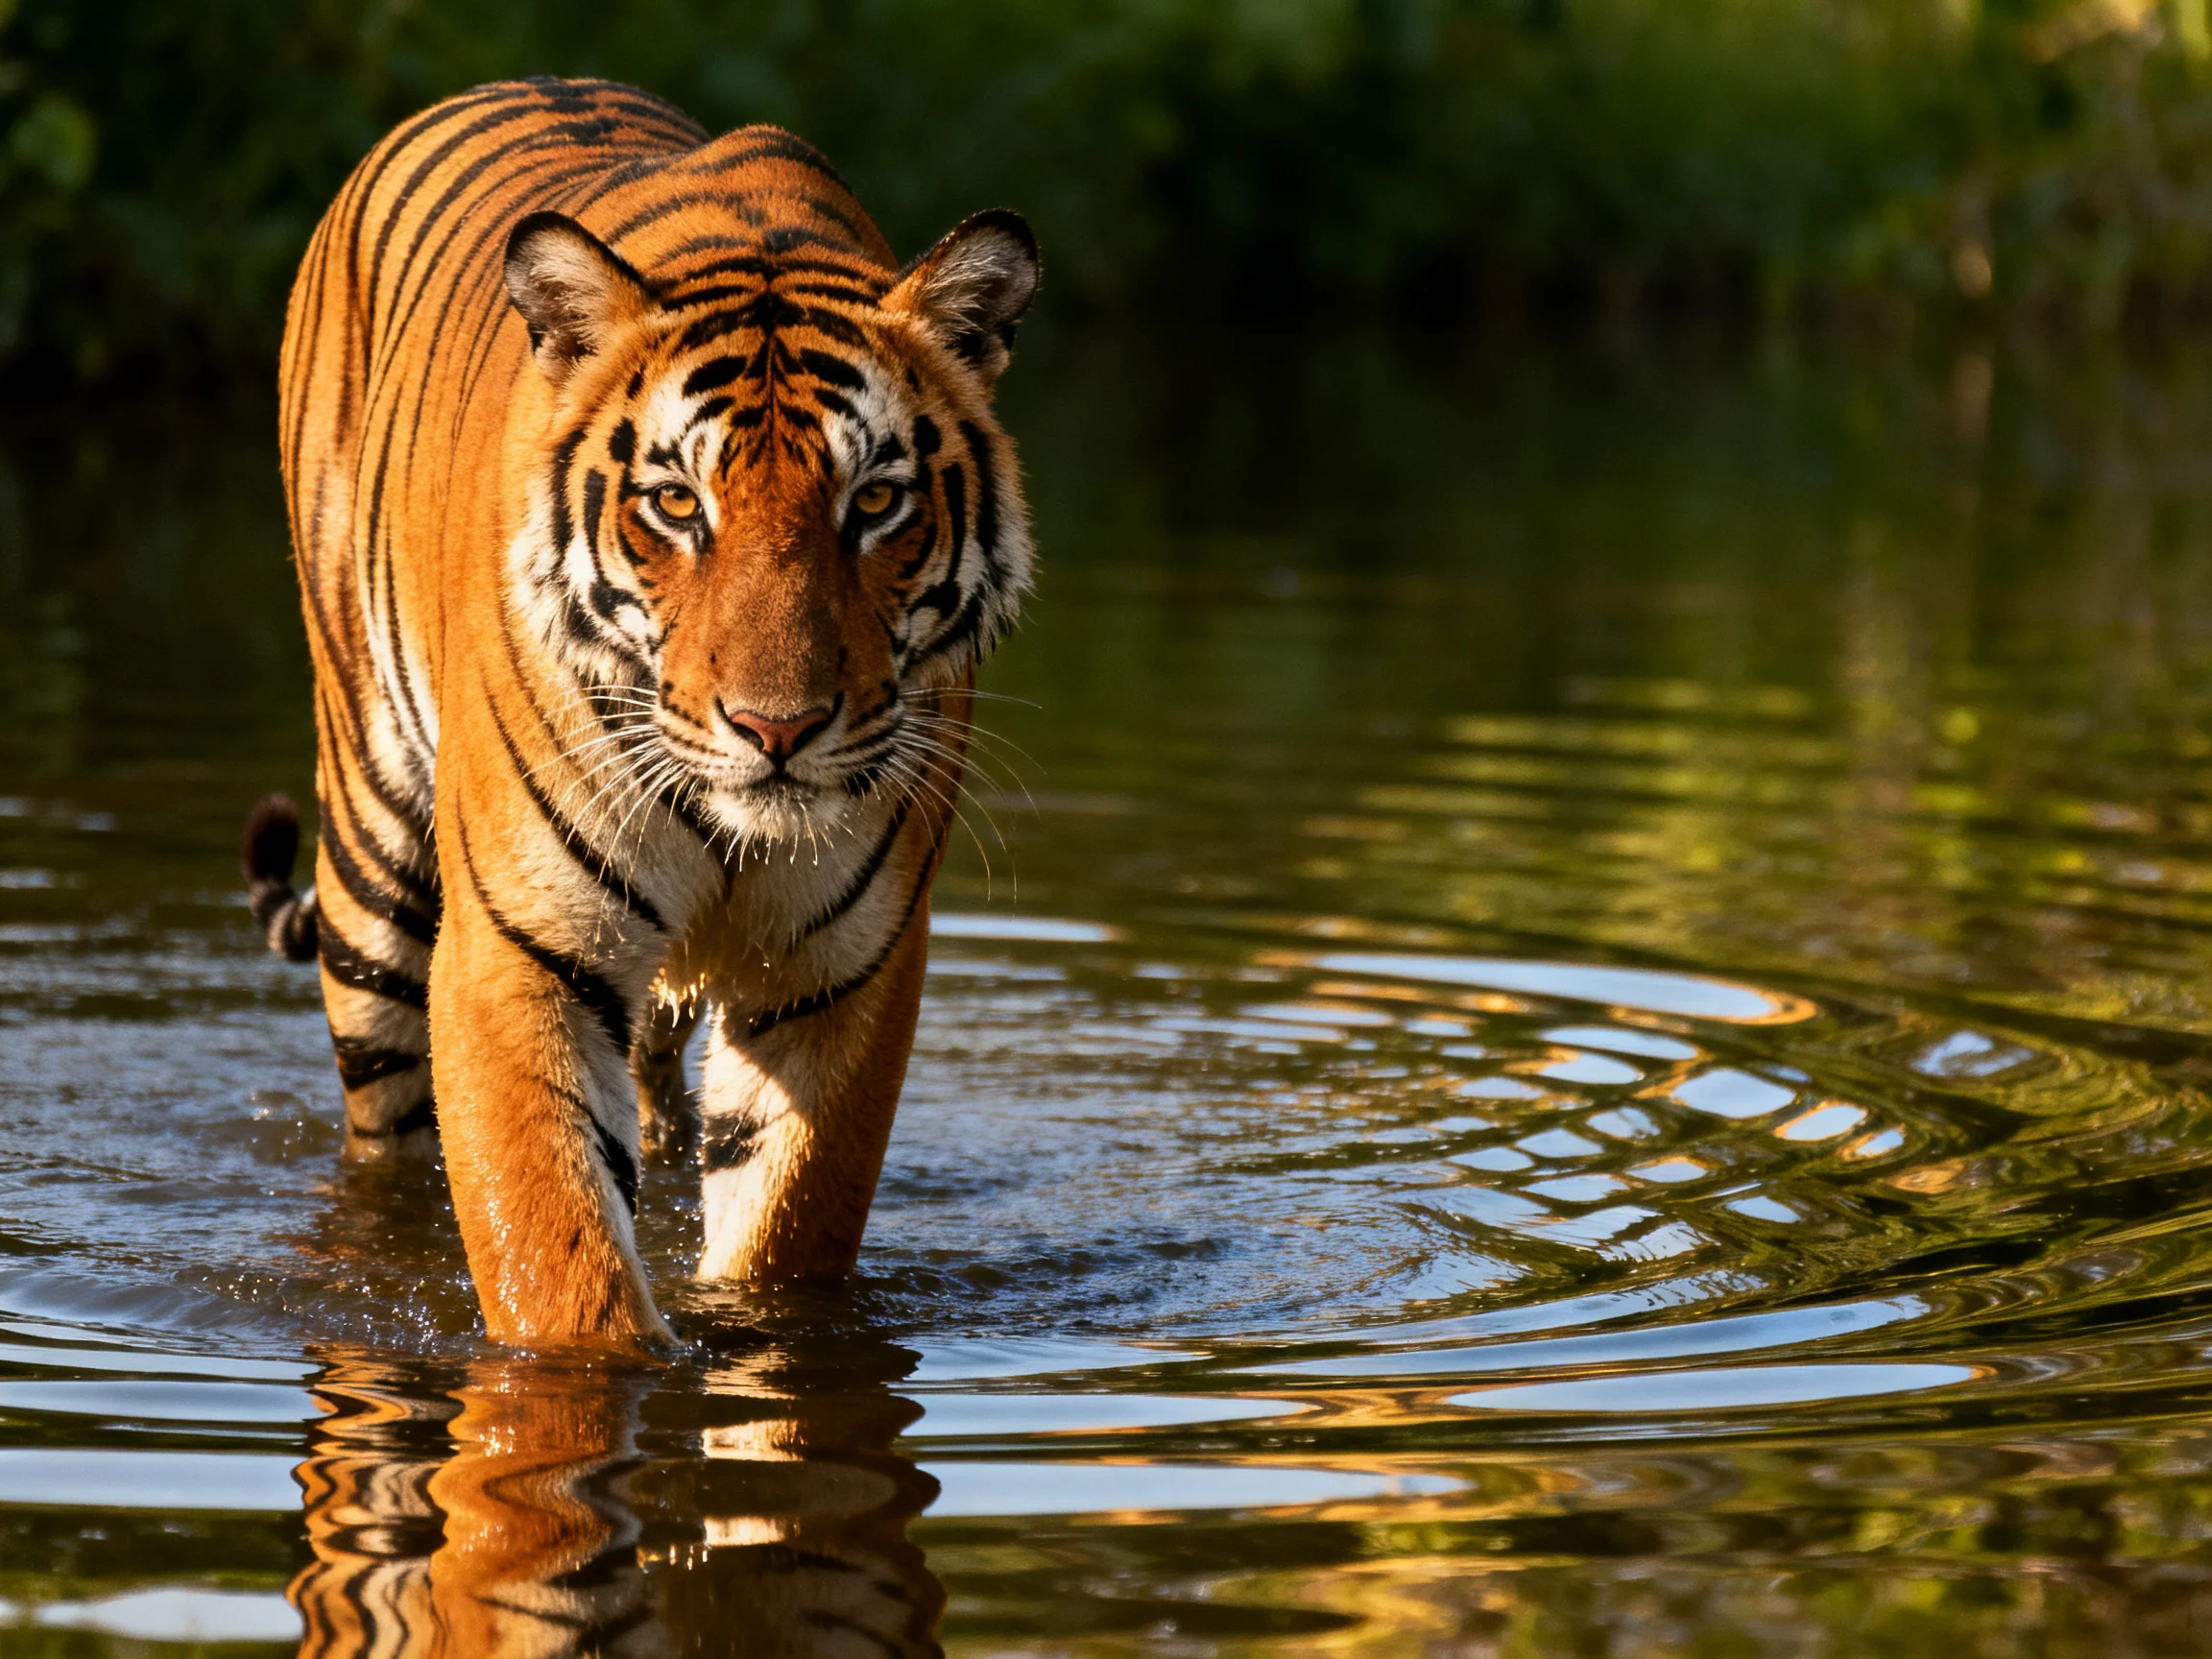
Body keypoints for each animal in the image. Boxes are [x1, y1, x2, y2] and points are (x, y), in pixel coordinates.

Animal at [245, 77, 1038, 1348]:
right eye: (677, 504)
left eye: (874, 504)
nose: (778, 728)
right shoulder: (519, 952)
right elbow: (559, 1258)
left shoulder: (842, 971)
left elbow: (784, 1230)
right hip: (370, 863)